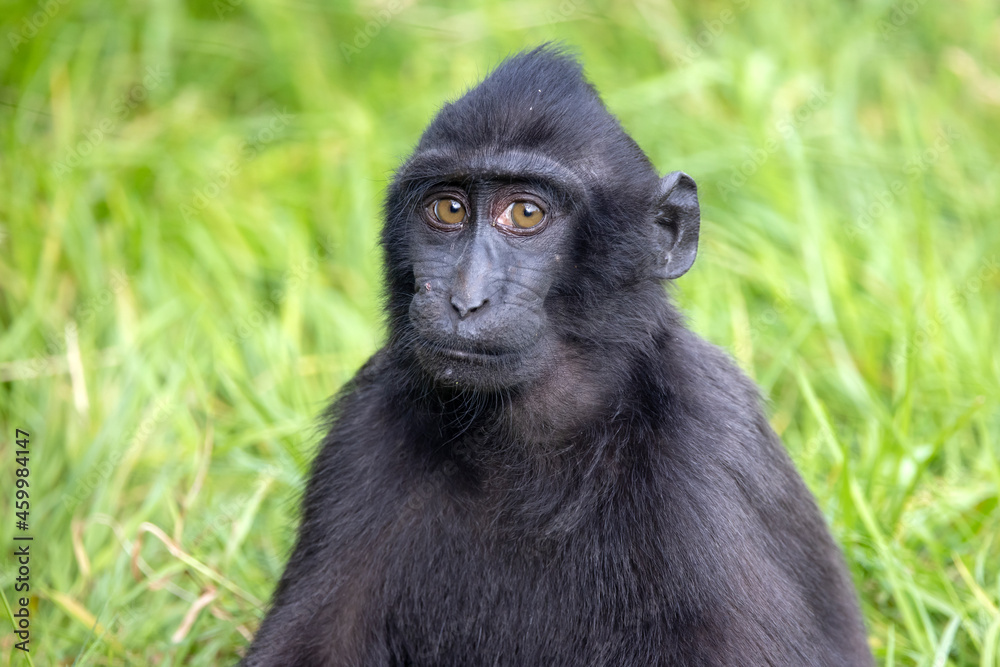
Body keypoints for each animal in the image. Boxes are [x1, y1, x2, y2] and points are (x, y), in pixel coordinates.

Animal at [241, 45, 873, 666]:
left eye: (525, 214)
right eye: (447, 210)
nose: (464, 299)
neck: (529, 439)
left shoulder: (703, 442)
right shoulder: (364, 426)